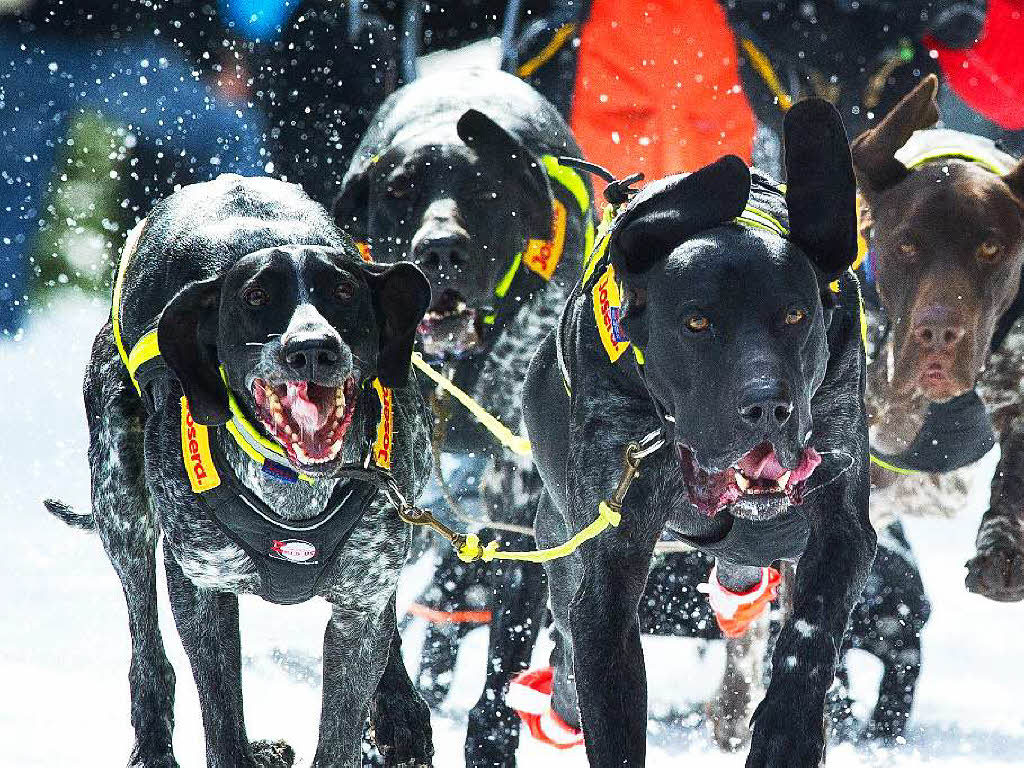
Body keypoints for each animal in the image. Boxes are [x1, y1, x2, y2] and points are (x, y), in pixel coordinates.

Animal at [43, 176, 436, 768]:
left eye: (343, 293)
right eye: (255, 298)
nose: (312, 349)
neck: (295, 488)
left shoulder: (359, 611)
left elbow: (344, 718)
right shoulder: (203, 591)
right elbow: (221, 718)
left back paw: (398, 710)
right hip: (122, 512)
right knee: (148, 652)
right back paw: (156, 745)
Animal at [507, 99, 876, 765]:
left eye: (795, 315)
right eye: (697, 323)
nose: (767, 406)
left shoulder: (839, 512)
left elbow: (811, 635)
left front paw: (788, 729)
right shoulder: (608, 563)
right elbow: (601, 667)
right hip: (558, 536)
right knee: (568, 633)